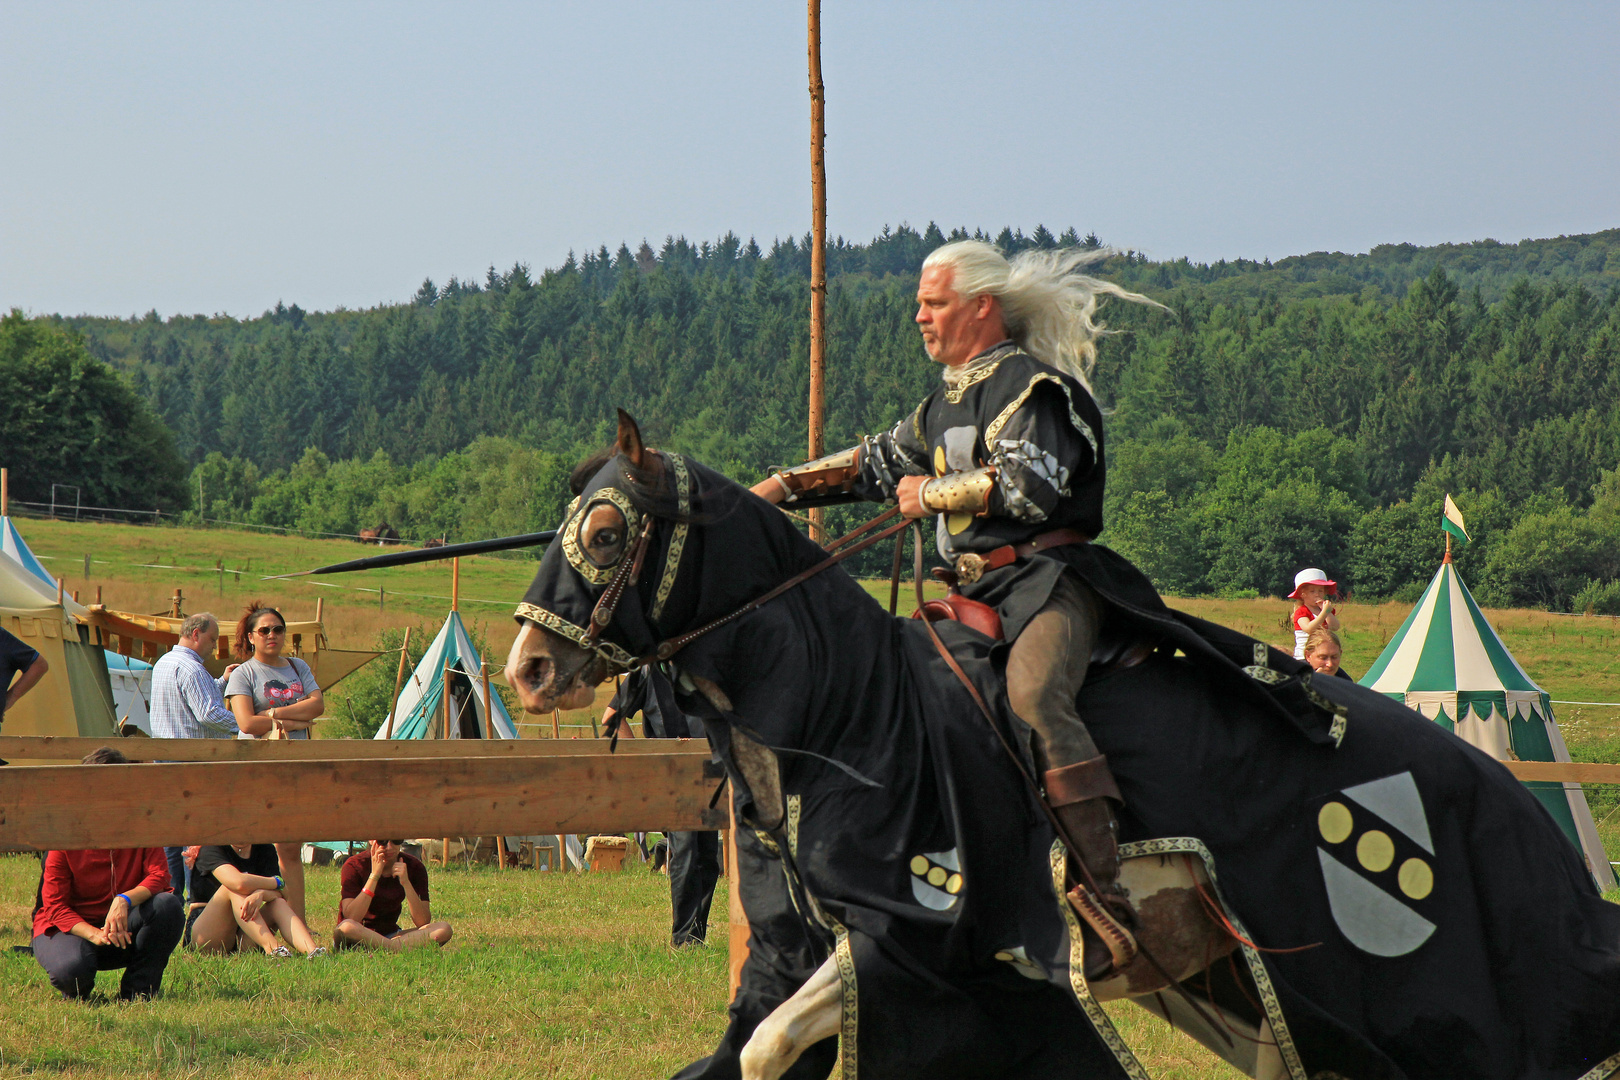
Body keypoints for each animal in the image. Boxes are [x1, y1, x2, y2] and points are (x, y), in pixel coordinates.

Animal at [505, 417, 1620, 1080]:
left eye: (605, 533)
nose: (526, 667)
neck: (846, 714)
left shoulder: (922, 946)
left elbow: (769, 1050)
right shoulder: (801, 950)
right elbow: (749, 1048)